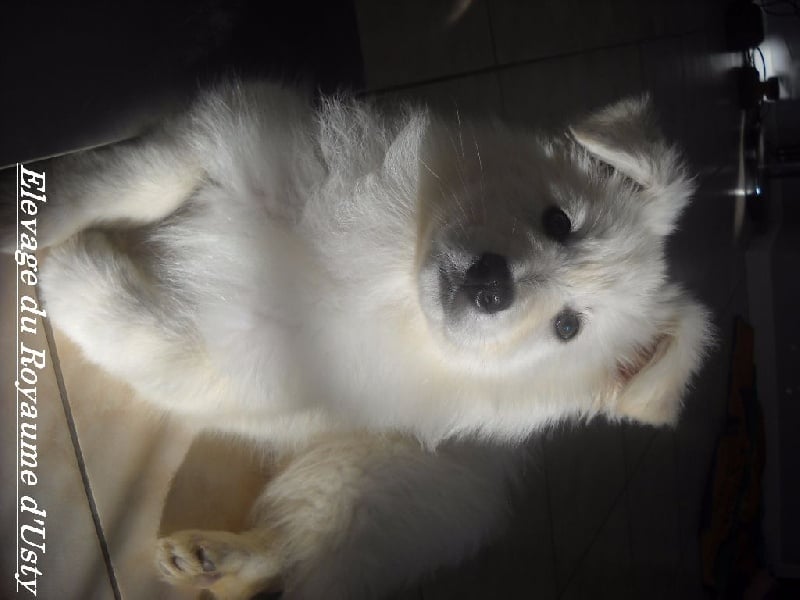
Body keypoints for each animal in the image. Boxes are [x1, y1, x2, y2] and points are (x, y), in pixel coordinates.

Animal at [5, 79, 711, 598]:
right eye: (559, 222)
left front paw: (68, 270)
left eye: (568, 327)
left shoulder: (230, 363)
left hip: (366, 482)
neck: (386, 276)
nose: (491, 285)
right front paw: (32, 220)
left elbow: (139, 328)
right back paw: (209, 559)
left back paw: (222, 559)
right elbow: (123, 182)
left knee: (299, 545)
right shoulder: (218, 138)